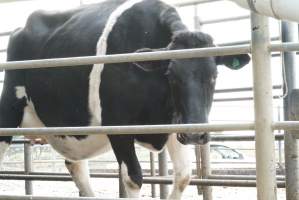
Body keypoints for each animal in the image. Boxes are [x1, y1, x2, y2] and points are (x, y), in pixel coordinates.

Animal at [0, 0, 251, 198]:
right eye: (172, 75)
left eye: (214, 76)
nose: (195, 134)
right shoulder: (118, 126)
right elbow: (134, 177)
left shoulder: (174, 124)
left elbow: (182, 176)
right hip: (9, 110)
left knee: (77, 167)